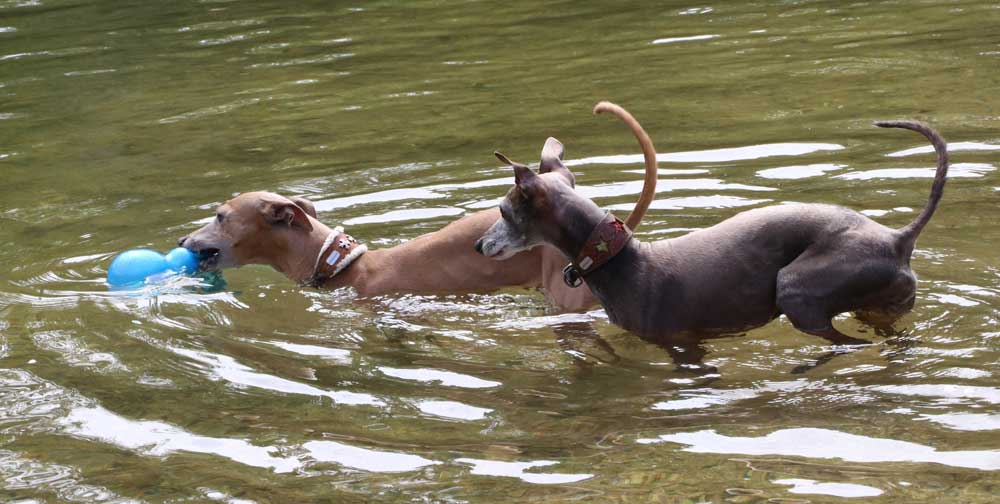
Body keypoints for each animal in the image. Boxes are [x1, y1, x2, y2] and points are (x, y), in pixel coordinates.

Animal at [474, 117, 944, 354]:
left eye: (503, 211)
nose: (479, 245)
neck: (620, 258)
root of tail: (898, 239)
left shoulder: (683, 346)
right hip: (881, 309)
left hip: (796, 288)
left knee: (847, 345)